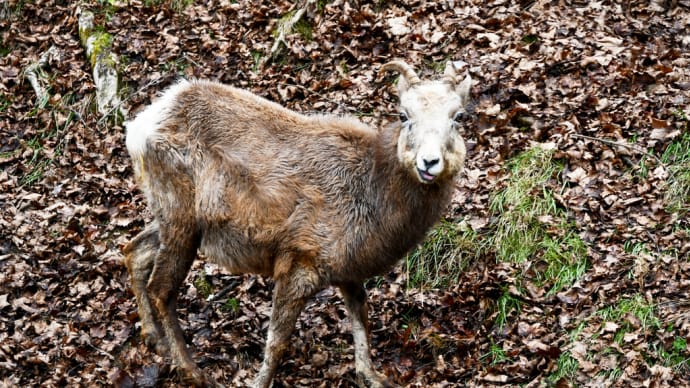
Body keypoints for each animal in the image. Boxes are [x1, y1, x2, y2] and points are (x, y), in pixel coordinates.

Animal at [122, 59, 468, 386]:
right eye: (404, 114)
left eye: (458, 116)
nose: (429, 162)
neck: (372, 198)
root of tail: (139, 128)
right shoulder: (299, 264)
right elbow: (277, 341)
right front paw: (257, 382)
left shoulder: (347, 272)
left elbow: (361, 318)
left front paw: (374, 377)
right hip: (180, 217)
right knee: (161, 288)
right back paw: (194, 372)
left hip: (173, 220)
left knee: (134, 250)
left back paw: (154, 340)